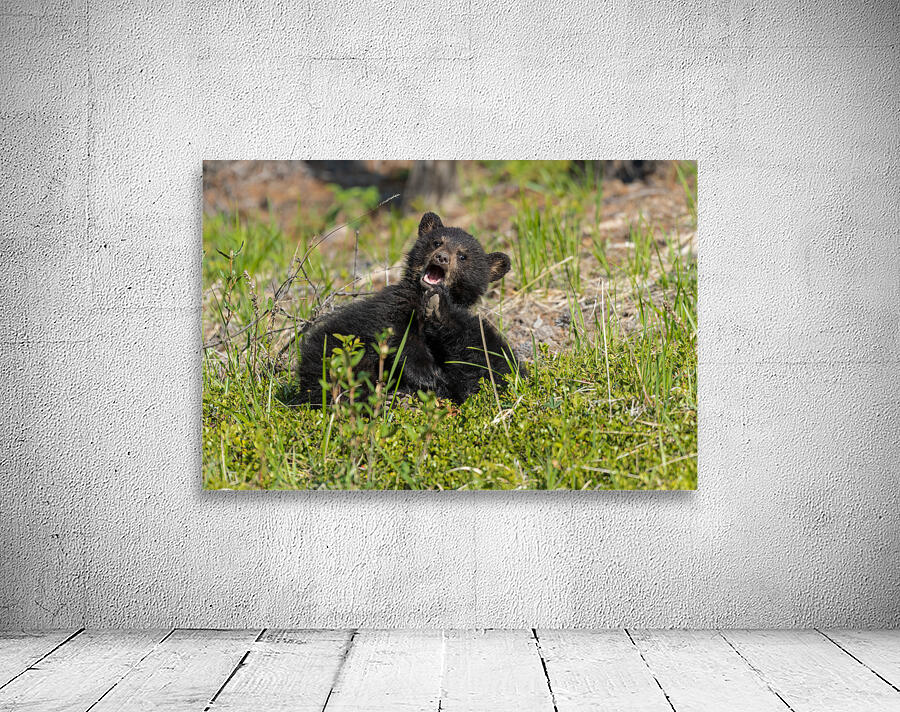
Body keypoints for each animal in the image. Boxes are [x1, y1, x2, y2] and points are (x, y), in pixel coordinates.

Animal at [289, 212, 519, 405]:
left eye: (463, 256)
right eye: (437, 242)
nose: (442, 257)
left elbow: (488, 362)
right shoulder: (394, 306)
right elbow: (398, 338)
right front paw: (427, 375)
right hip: (335, 353)